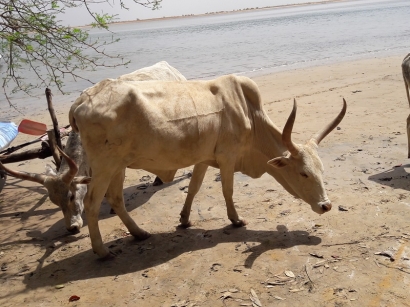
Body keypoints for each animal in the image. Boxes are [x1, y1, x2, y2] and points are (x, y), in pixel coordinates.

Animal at [69, 75, 346, 260]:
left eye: (321, 171)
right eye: (304, 173)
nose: (326, 205)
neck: (250, 114)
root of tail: (82, 99)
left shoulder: (203, 159)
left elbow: (193, 188)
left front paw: (184, 219)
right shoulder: (227, 157)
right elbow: (227, 191)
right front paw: (236, 220)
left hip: (119, 165)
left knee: (116, 199)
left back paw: (139, 234)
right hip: (105, 165)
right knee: (92, 203)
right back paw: (102, 250)